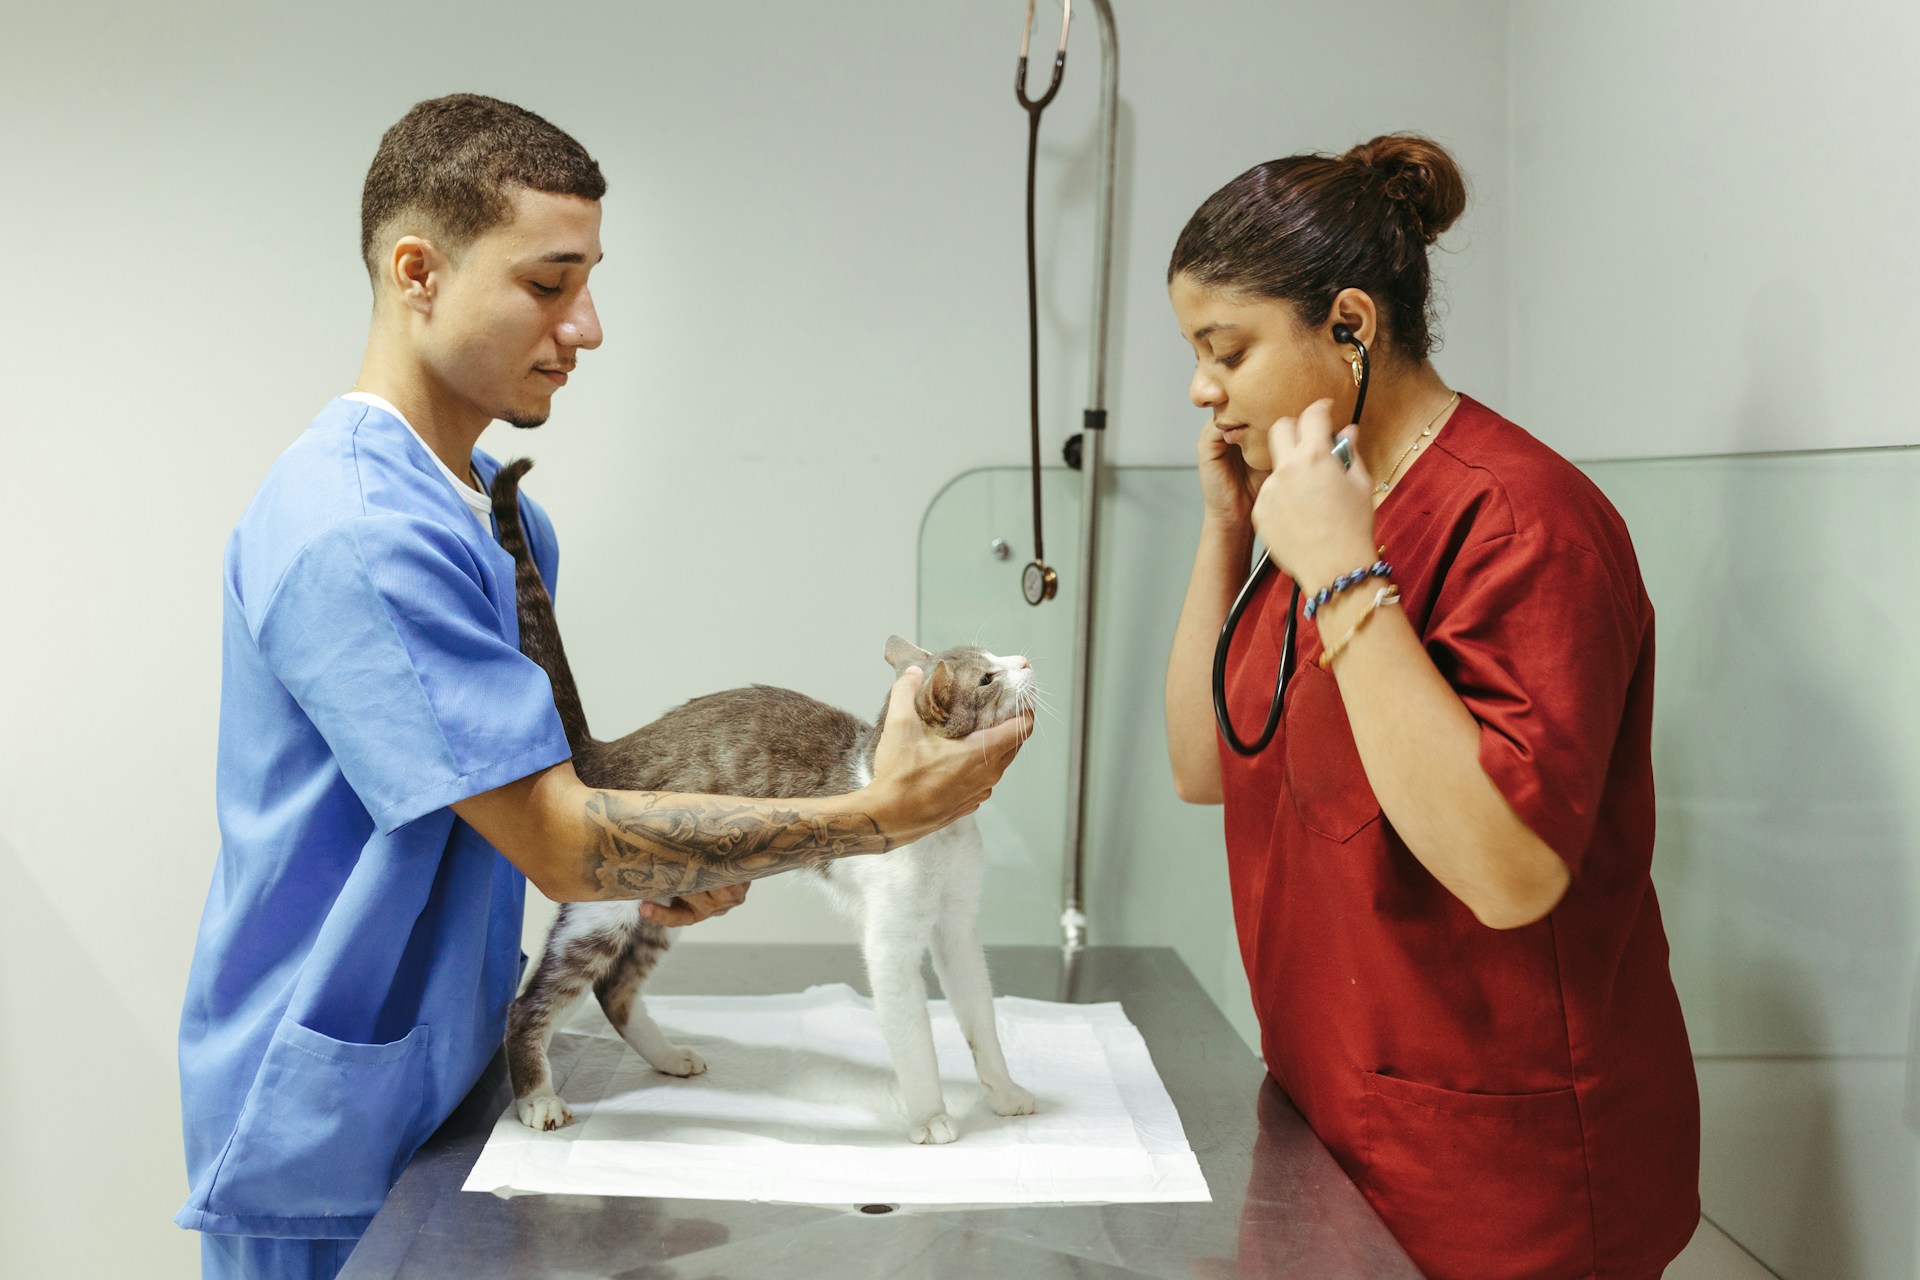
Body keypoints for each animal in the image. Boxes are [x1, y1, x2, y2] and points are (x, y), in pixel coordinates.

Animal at [491, 458, 1036, 1143]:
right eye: (988, 679)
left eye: (993, 659)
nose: (1025, 660)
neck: (947, 832)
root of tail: (609, 751)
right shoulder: (892, 937)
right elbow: (913, 1034)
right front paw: (932, 1116)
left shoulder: (957, 924)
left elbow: (979, 1016)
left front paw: (1004, 1092)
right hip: (602, 904)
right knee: (531, 1002)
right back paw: (538, 1097)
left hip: (665, 892)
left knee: (615, 990)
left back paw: (666, 1056)